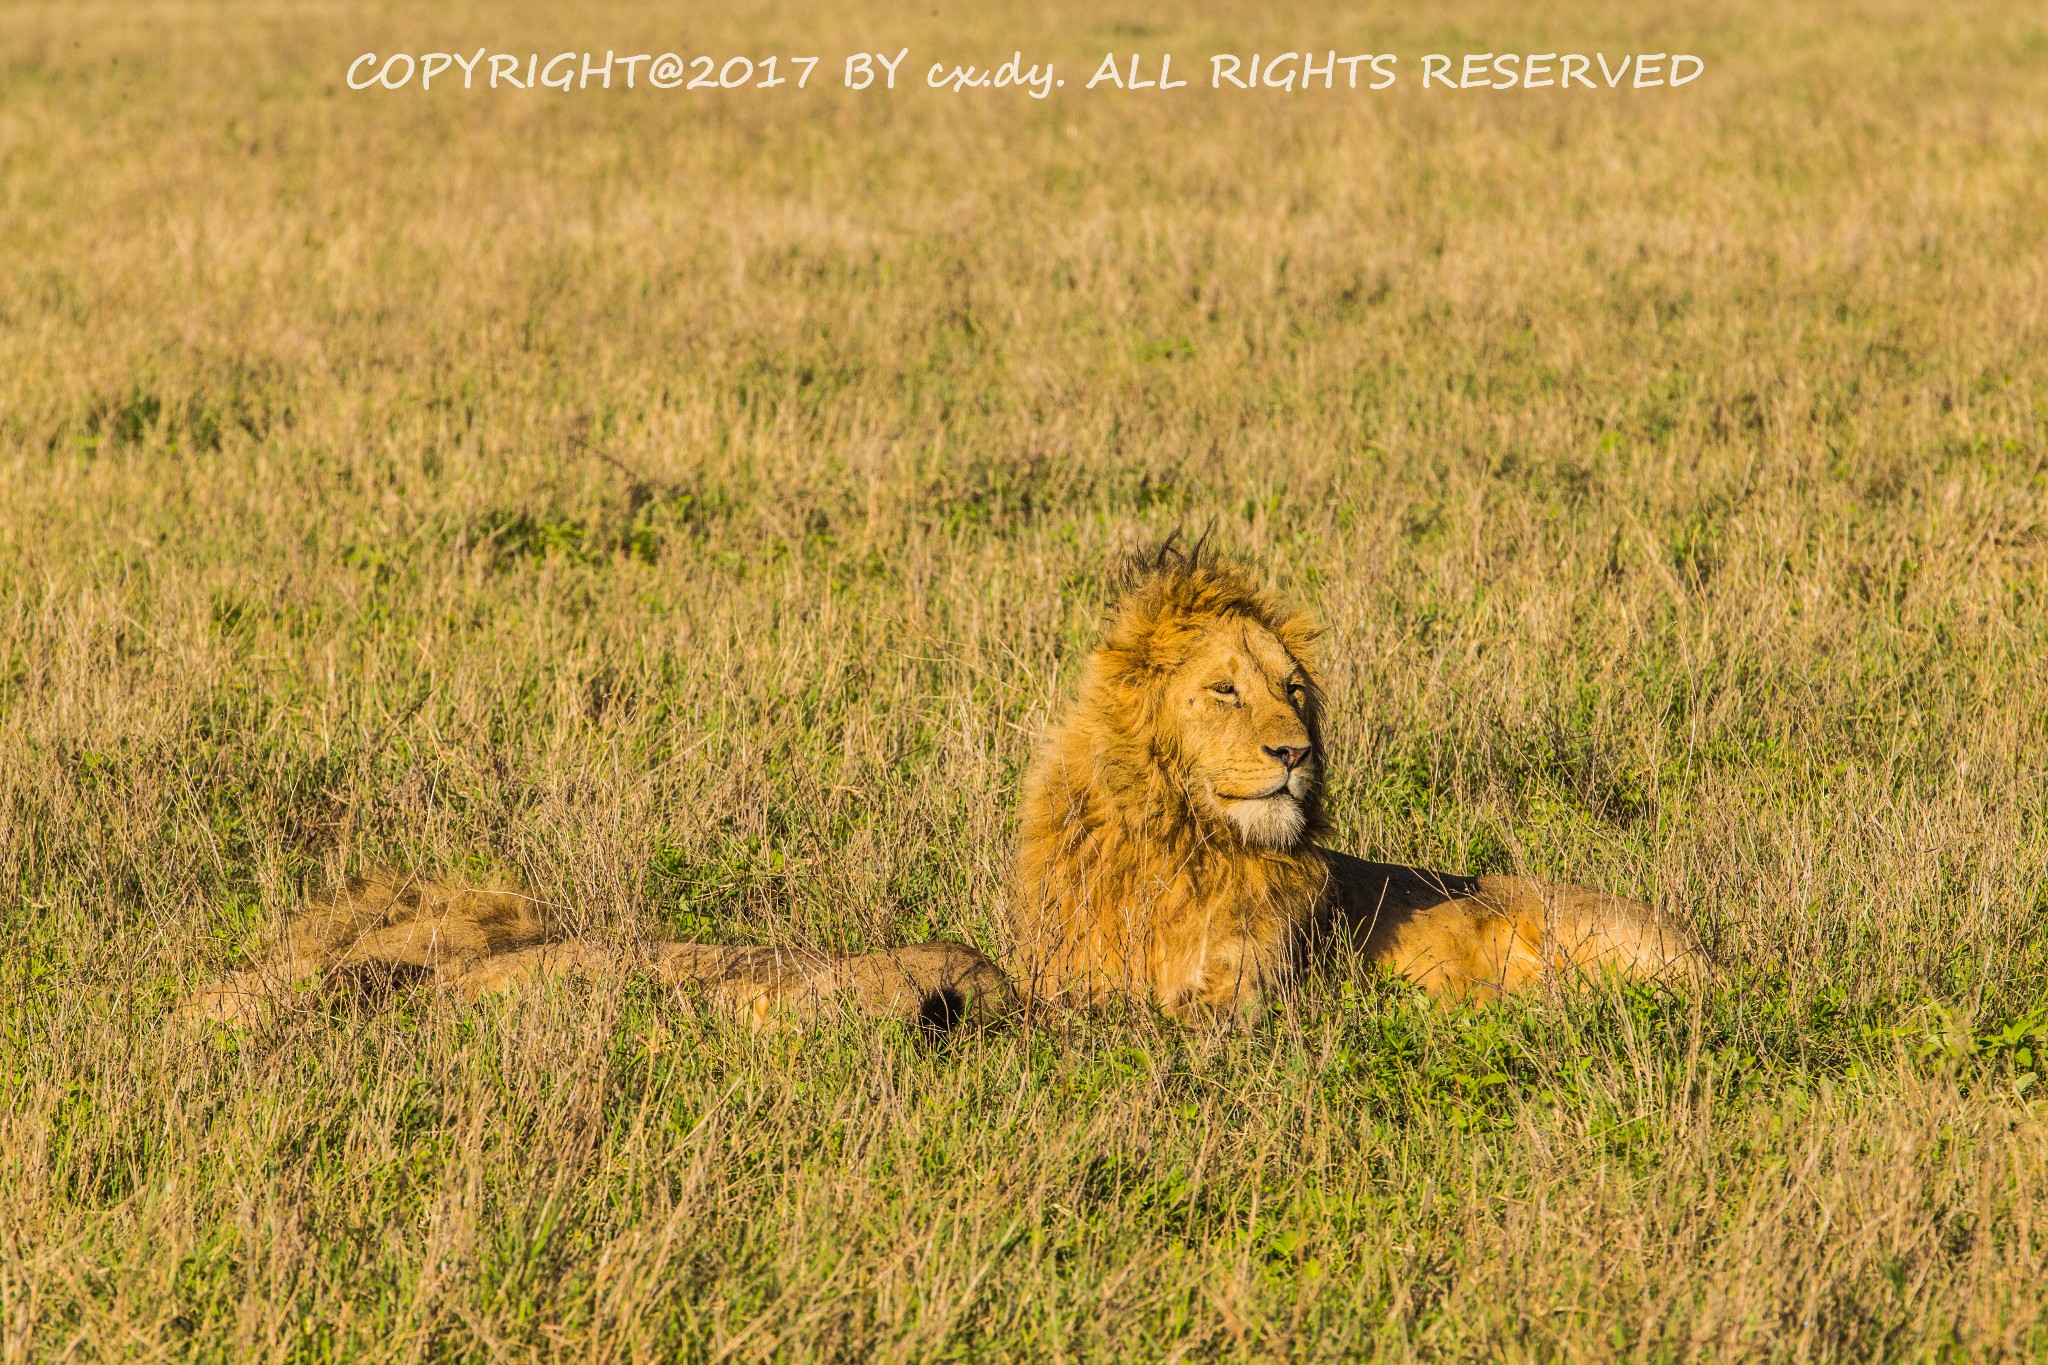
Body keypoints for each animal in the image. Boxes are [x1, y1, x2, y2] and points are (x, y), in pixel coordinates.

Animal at [999, 540, 1703, 1019]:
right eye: (1224, 690)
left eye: (1292, 690)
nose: (1295, 752)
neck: (1186, 845)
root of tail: (1708, 951)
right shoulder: (1061, 968)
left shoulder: (1250, 992)